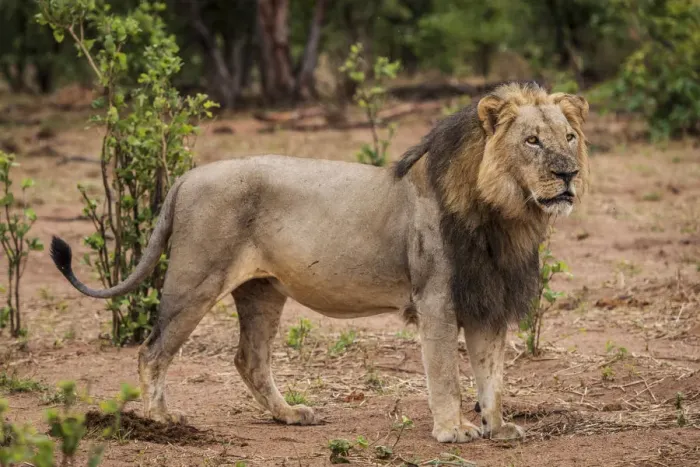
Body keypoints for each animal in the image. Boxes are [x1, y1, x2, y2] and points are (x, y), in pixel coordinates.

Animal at [50, 81, 589, 443]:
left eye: (569, 137)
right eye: (532, 141)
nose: (569, 174)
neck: (505, 215)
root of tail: (187, 176)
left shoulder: (487, 300)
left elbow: (491, 371)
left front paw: (498, 426)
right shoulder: (436, 298)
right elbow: (446, 373)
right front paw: (452, 430)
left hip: (262, 291)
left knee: (249, 359)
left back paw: (289, 415)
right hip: (194, 280)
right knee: (153, 351)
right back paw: (161, 420)